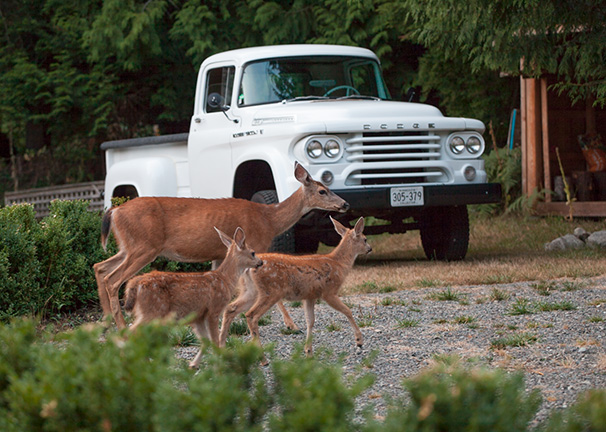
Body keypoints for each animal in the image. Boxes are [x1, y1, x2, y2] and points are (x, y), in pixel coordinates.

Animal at [95, 164, 352, 330]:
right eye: (322, 190)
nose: (345, 204)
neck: (269, 220)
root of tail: (114, 210)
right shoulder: (256, 247)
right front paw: (291, 325)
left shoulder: (221, 254)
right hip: (144, 246)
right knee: (113, 279)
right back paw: (120, 325)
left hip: (127, 247)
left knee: (100, 267)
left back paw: (107, 323)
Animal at [124, 226, 264, 368]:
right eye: (253, 253)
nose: (261, 262)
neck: (225, 280)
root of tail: (135, 283)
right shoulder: (214, 309)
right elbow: (215, 340)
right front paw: (218, 364)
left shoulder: (198, 317)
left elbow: (206, 341)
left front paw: (193, 364)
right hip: (153, 310)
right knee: (131, 332)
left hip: (148, 311)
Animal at [218, 216, 370, 362]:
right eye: (365, 239)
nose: (370, 249)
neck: (339, 263)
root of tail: (248, 269)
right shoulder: (329, 292)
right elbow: (347, 310)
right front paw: (359, 341)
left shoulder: (309, 296)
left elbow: (310, 321)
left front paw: (308, 351)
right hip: (271, 291)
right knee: (251, 315)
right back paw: (263, 359)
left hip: (251, 290)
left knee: (231, 308)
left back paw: (221, 349)